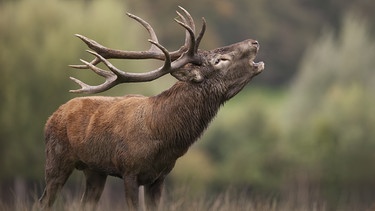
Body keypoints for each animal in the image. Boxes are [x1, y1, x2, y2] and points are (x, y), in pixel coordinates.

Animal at [39, 6, 266, 211]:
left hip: (94, 170)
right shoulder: (129, 170)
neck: (163, 136)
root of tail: (51, 117)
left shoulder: (160, 176)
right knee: (44, 201)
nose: (254, 42)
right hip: (56, 159)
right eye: (220, 60)